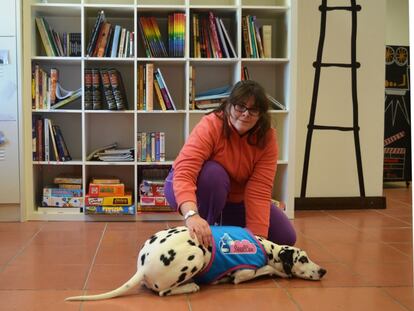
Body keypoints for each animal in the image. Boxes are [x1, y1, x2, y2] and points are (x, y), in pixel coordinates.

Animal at [66, 227, 326, 302]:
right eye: (303, 259)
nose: (323, 270)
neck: (267, 247)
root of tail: (143, 267)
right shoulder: (243, 273)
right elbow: (267, 269)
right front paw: (279, 273)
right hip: (196, 255)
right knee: (164, 292)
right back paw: (191, 286)